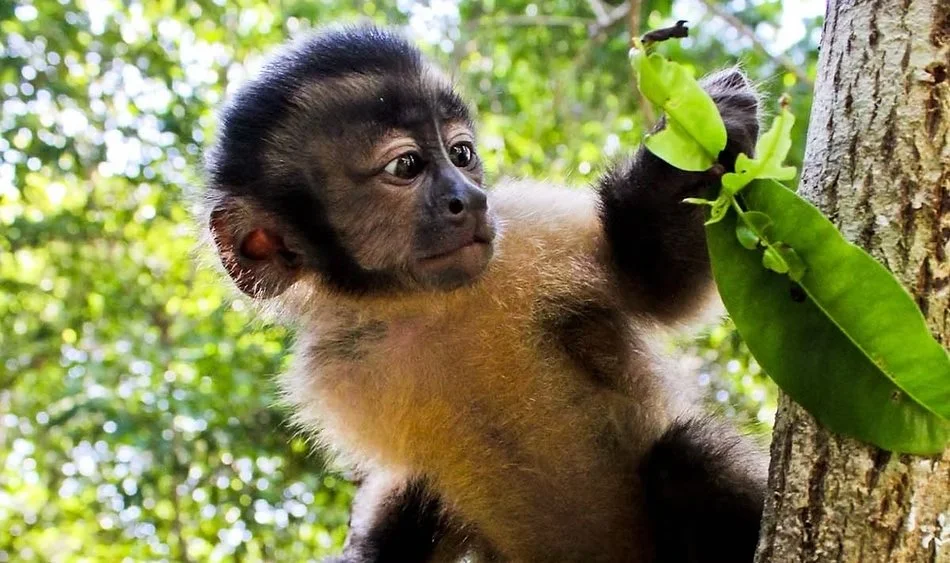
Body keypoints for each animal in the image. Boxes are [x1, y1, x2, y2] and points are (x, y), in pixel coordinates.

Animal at [201, 25, 767, 562]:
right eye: (406, 166)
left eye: (461, 154)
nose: (469, 199)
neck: (426, 305)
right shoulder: (337, 363)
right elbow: (410, 489)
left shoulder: (524, 228)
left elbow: (653, 278)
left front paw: (700, 137)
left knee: (685, 460)